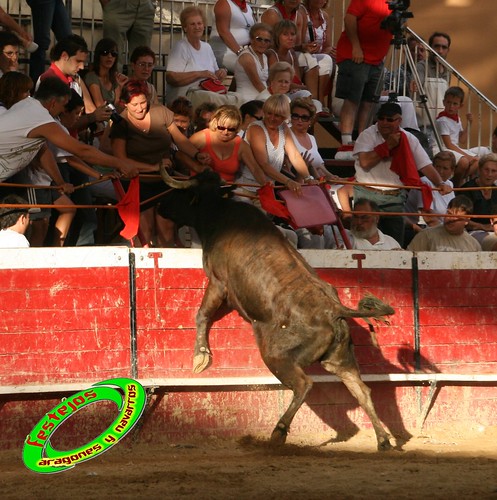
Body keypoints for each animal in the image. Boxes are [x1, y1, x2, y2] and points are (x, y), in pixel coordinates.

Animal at [158, 168, 392, 450]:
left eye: (182, 193)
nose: (160, 206)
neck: (219, 211)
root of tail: (334, 309)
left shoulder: (217, 282)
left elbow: (202, 314)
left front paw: (200, 357)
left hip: (276, 356)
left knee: (303, 384)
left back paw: (278, 432)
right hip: (340, 360)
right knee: (361, 390)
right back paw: (383, 439)